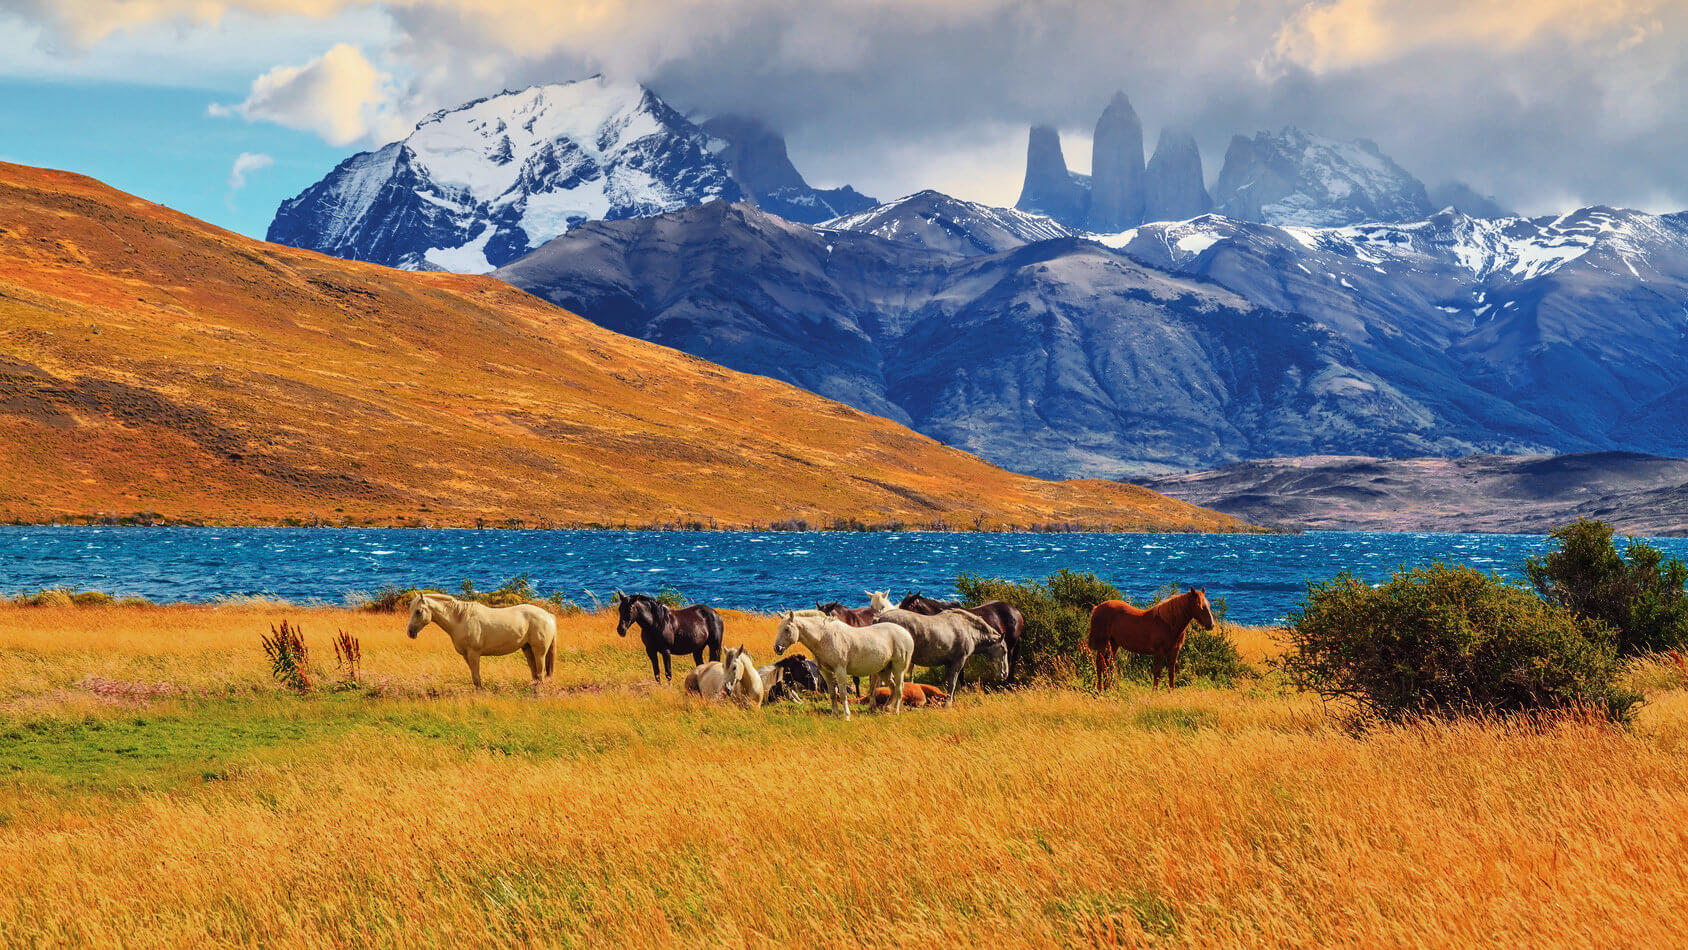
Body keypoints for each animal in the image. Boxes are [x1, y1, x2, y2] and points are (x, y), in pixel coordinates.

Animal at [405, 590, 557, 688]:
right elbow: (474, 677)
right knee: (535, 673)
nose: (410, 632)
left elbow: (477, 678)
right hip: (527, 648)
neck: (460, 619)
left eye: (418, 611)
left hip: (539, 652)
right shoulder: (466, 655)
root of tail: (548, 615)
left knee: (540, 673)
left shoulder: (474, 653)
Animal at [773, 610, 911, 722]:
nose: (777, 648)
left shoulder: (840, 670)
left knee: (899, 688)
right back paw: (887, 709)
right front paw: (834, 714)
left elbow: (843, 693)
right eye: (778, 628)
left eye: (787, 629)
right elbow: (832, 693)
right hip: (884, 670)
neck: (824, 637)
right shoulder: (826, 672)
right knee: (893, 687)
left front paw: (846, 716)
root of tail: (906, 634)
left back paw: (896, 711)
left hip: (898, 669)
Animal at [898, 590, 1026, 688]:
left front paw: (963, 688)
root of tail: (1015, 611)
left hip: (1010, 646)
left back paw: (1006, 684)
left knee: (1010, 662)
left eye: (909, 606)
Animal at [1087, 587, 1222, 691]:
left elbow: (1171, 672)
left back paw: (1110, 688)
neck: (1168, 623)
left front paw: (1171, 692)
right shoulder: (1159, 652)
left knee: (1109, 663)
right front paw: (1154, 693)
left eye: (1208, 605)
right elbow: (1157, 672)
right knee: (1100, 663)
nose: (1211, 625)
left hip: (1114, 643)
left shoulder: (1174, 651)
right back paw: (1100, 689)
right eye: (1199, 606)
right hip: (1102, 643)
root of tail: (1097, 608)